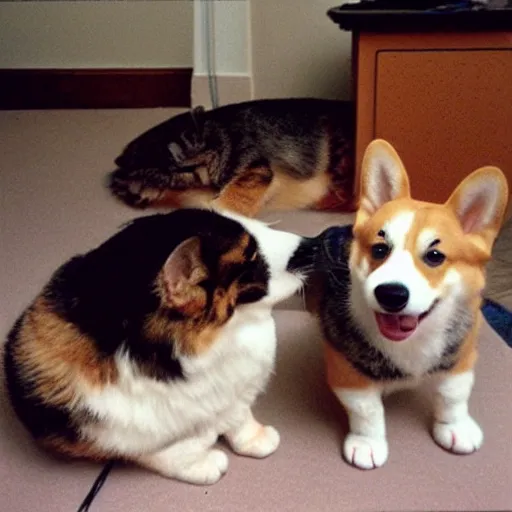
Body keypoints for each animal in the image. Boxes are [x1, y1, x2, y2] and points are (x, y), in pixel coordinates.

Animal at [3, 207, 308, 484]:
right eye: (252, 257)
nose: (308, 245)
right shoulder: (119, 433)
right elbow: (173, 449)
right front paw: (207, 460)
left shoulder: (237, 392)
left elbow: (239, 415)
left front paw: (255, 438)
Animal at [298, 139, 510, 468]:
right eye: (379, 249)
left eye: (435, 256)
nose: (391, 294)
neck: (412, 341)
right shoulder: (346, 369)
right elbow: (367, 410)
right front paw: (368, 443)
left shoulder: (462, 356)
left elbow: (454, 394)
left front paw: (455, 427)